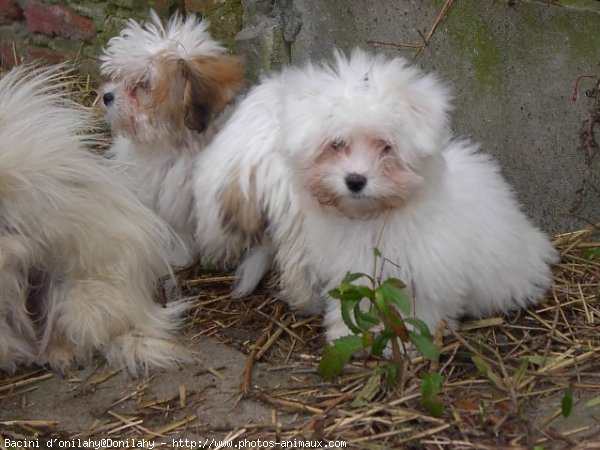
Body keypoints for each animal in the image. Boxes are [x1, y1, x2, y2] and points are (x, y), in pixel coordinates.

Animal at [101, 10, 244, 268]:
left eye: (143, 84)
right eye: (119, 77)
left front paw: (221, 254)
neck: (179, 146)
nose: (107, 96)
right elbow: (176, 228)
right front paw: (180, 255)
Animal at [196, 49, 556, 342]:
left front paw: (407, 340)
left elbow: (417, 308)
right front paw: (347, 334)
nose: (355, 180)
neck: (373, 218)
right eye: (337, 144)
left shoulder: (421, 274)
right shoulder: (349, 269)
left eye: (386, 147)